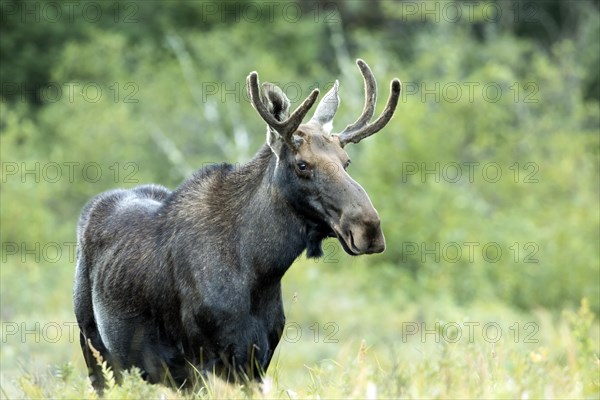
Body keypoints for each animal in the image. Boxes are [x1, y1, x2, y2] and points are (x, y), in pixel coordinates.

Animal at [75, 59, 400, 390]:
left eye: (346, 161)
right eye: (302, 165)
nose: (369, 228)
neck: (261, 271)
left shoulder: (257, 360)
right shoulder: (200, 361)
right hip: (95, 350)